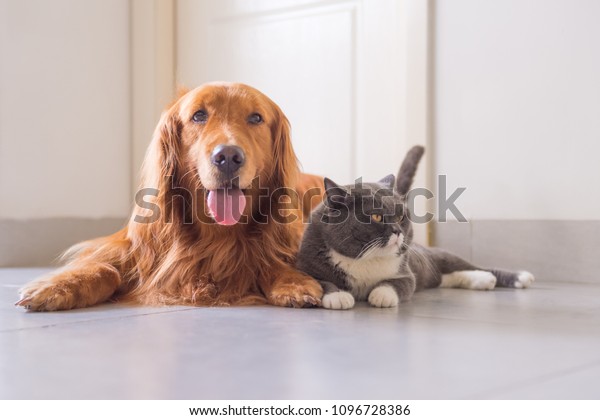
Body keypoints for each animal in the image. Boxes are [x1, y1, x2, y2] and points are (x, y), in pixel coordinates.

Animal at [16, 83, 324, 312]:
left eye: (256, 118)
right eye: (198, 115)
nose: (227, 157)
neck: (217, 234)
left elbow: (270, 259)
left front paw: (293, 282)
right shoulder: (132, 246)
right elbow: (106, 268)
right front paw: (57, 286)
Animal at [296, 147, 536, 308]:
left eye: (401, 215)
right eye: (376, 216)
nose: (397, 231)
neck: (365, 259)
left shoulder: (406, 274)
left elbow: (396, 284)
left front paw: (380, 295)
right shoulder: (307, 269)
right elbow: (322, 283)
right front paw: (338, 296)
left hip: (439, 256)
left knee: (471, 266)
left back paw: (512, 277)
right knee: (444, 279)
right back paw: (482, 281)